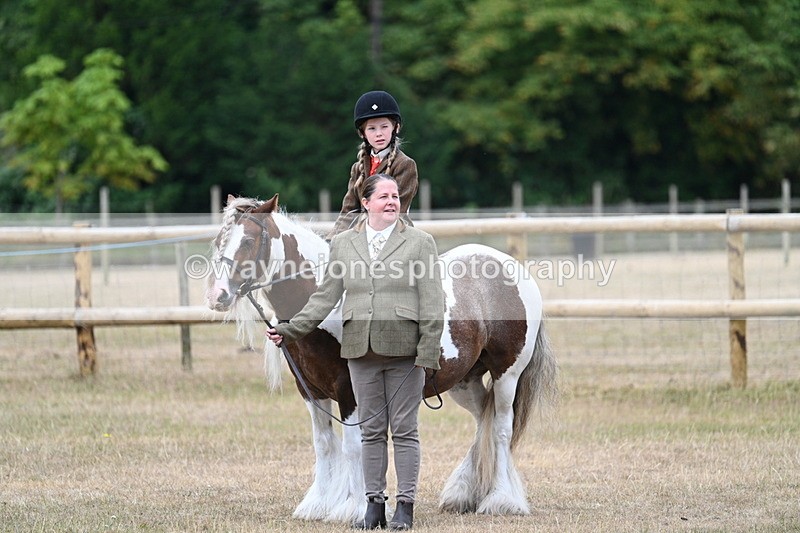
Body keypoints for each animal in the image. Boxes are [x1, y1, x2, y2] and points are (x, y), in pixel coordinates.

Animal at [205, 193, 558, 522]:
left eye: (248, 240)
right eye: (218, 241)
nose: (217, 295)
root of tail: (511, 268)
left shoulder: (348, 388)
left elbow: (353, 446)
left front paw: (353, 508)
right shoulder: (310, 390)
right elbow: (323, 443)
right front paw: (318, 504)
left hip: (507, 375)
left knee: (500, 428)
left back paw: (501, 499)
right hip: (464, 381)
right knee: (483, 419)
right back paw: (463, 493)